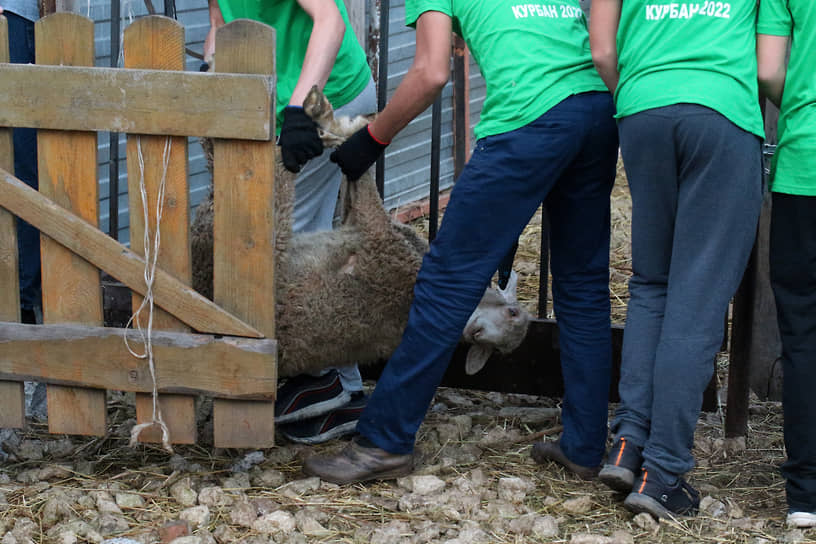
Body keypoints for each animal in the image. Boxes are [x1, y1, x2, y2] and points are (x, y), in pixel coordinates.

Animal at [194, 88, 532, 378]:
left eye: (513, 315)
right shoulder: (356, 224)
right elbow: (353, 184)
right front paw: (348, 128)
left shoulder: (377, 236)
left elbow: (361, 174)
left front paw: (344, 129)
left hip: (249, 237)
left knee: (260, 175)